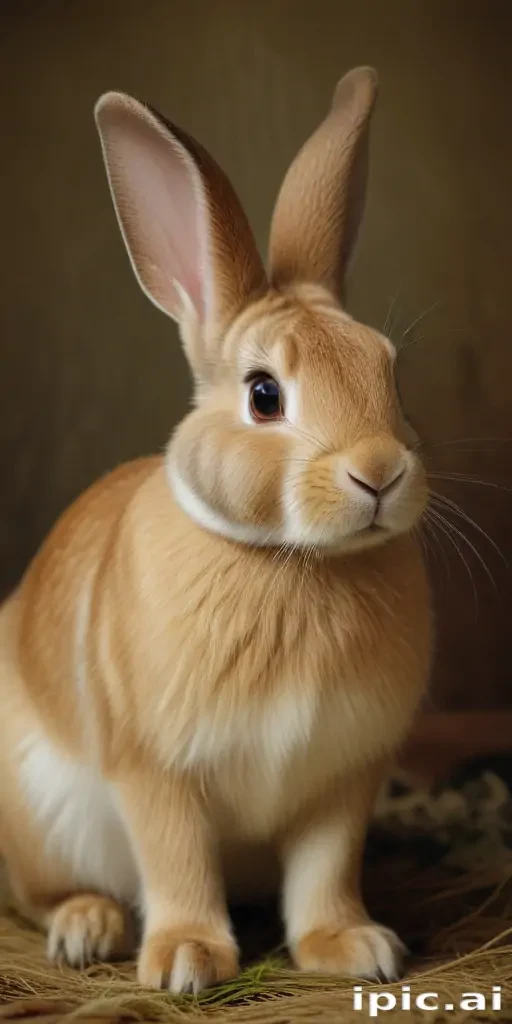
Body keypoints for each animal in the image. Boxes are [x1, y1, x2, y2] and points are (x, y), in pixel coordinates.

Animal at [0, 67, 431, 993]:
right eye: (264, 395)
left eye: (388, 371)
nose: (380, 470)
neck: (292, 559)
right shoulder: (155, 773)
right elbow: (177, 864)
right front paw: (188, 961)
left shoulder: (342, 782)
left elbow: (324, 873)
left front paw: (354, 948)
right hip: (37, 813)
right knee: (39, 893)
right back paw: (88, 927)